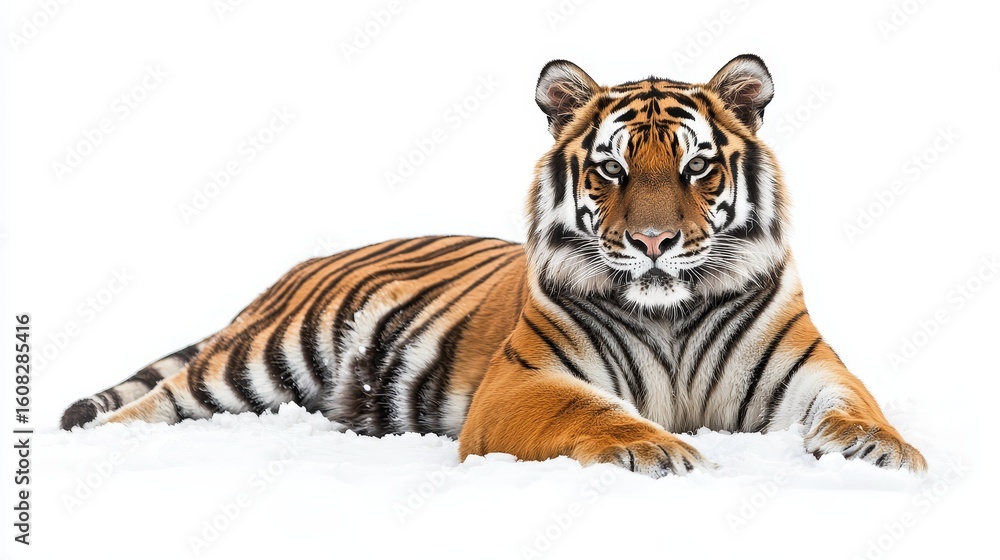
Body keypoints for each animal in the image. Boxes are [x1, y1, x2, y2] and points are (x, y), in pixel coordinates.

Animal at [61, 55, 927, 477]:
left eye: (696, 168)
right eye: (611, 170)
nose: (654, 243)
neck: (672, 313)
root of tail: (297, 265)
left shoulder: (810, 368)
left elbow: (860, 406)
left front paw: (881, 449)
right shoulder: (523, 384)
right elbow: (591, 413)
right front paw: (655, 448)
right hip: (256, 362)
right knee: (156, 401)